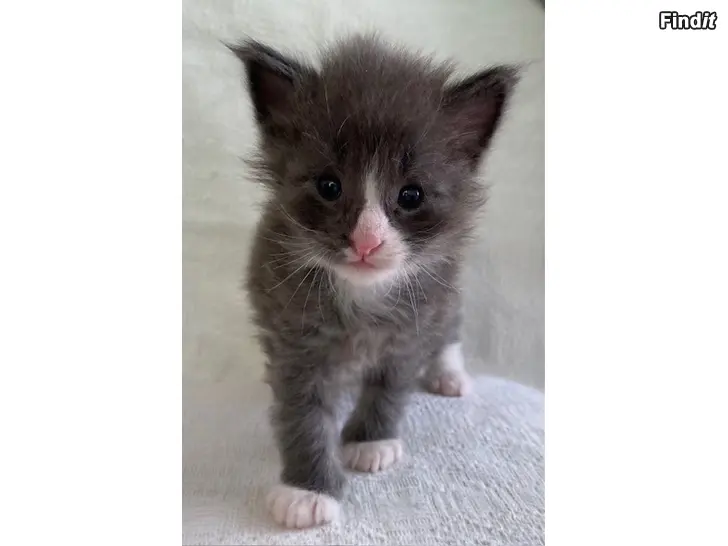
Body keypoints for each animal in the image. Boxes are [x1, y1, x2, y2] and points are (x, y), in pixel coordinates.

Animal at [229, 35, 516, 528]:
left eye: (411, 195)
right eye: (329, 186)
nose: (366, 241)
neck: (361, 298)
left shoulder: (414, 324)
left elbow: (390, 386)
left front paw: (369, 442)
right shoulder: (294, 336)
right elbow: (302, 415)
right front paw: (307, 490)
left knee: (451, 329)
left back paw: (449, 374)